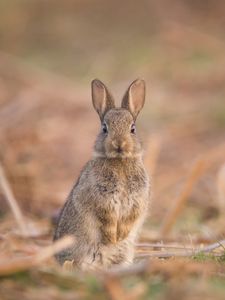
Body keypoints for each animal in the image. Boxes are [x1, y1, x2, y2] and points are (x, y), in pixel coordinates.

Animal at [53, 78, 150, 270]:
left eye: (132, 128)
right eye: (105, 128)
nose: (119, 144)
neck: (119, 161)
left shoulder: (138, 200)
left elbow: (130, 218)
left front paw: (120, 235)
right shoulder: (101, 199)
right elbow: (107, 218)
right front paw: (112, 237)